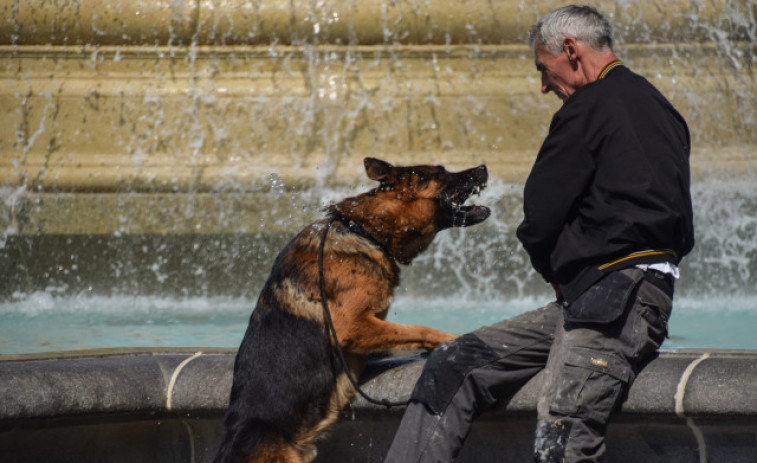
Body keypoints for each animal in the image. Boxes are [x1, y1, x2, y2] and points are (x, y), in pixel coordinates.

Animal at [213, 158, 490, 462]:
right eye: (441, 172)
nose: (483, 167)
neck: (364, 229)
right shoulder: (351, 326)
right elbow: (419, 328)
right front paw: (456, 338)